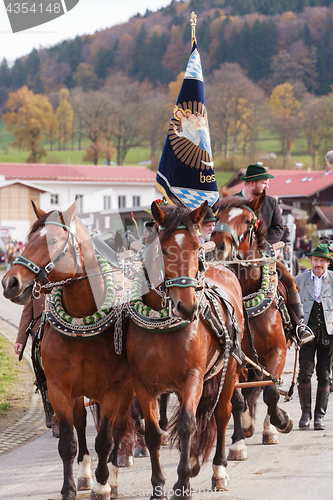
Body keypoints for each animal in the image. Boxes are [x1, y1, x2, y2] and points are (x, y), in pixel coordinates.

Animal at [1, 202, 134, 500]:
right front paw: (70, 487)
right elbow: (68, 442)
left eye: (51, 241)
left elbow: (106, 439)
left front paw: (102, 485)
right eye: (27, 240)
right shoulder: (60, 390)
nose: (10, 283)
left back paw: (113, 475)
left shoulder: (113, 390)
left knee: (119, 427)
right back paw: (85, 473)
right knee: (82, 424)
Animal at [126, 201, 243, 498]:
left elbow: (188, 424)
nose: (187, 306)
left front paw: (183, 483)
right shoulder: (142, 383)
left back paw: (218, 470)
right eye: (165, 250)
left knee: (221, 414)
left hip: (228, 370)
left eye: (196, 247)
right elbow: (154, 433)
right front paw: (158, 485)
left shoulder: (193, 377)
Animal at [211, 192, 292, 460]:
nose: (219, 245)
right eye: (219, 216)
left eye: (247, 221)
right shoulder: (235, 358)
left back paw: (270, 427)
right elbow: (237, 399)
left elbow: (272, 391)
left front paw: (280, 422)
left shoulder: (278, 351)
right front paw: (237, 442)